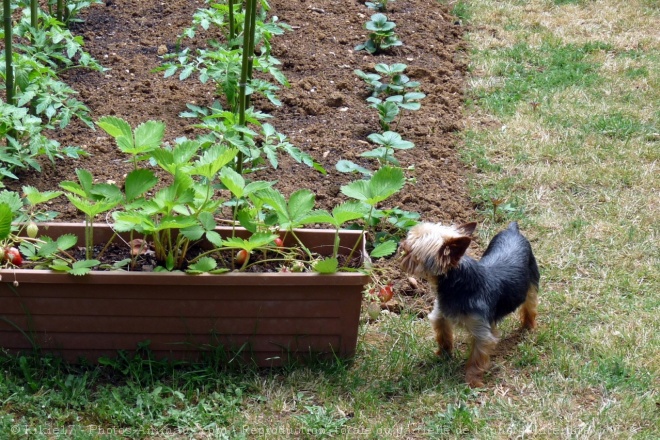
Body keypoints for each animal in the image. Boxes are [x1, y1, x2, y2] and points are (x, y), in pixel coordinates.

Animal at [400, 222, 540, 386]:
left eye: (412, 247)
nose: (401, 244)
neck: (456, 282)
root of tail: (513, 230)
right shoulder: (441, 314)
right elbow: (443, 335)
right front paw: (443, 355)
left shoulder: (481, 331)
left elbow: (476, 358)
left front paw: (472, 380)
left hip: (531, 283)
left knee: (530, 306)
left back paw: (528, 326)